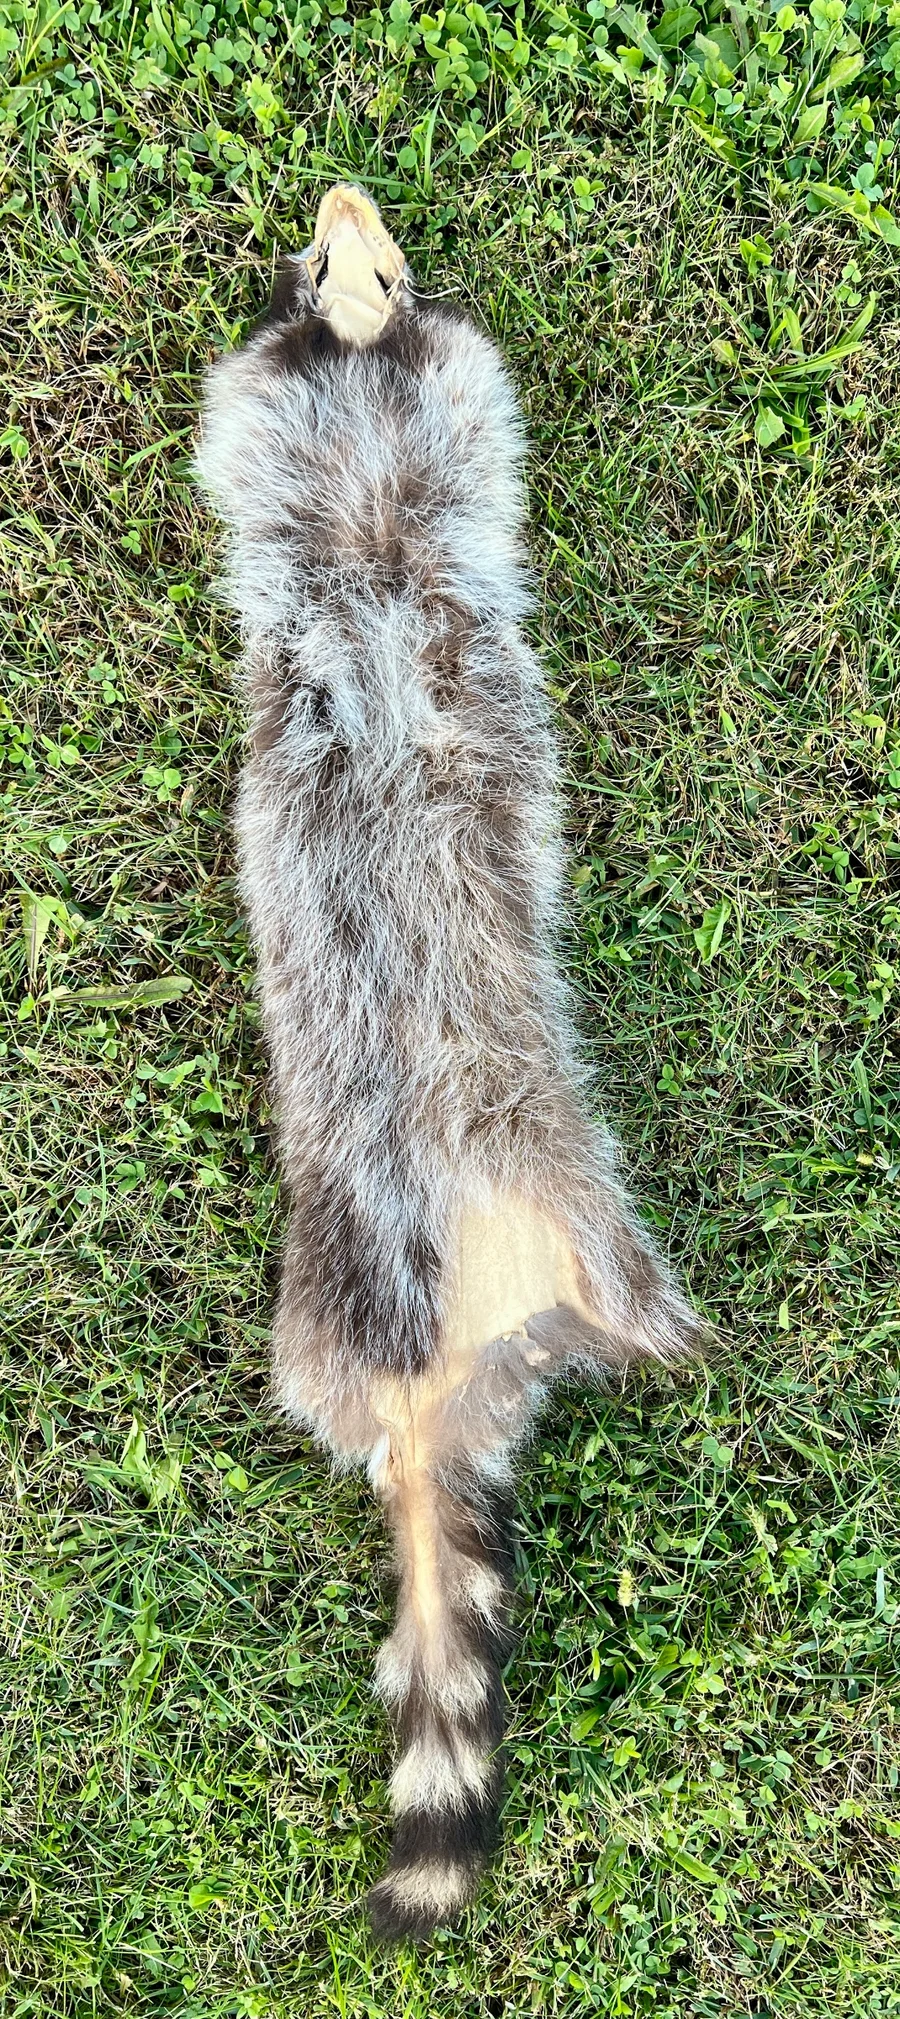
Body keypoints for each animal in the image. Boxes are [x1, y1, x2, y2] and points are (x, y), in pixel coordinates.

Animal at [196, 184, 702, 1941]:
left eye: (372, 238)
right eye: (320, 240)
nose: (345, 206)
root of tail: (428, 1389)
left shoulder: (439, 446)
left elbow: (461, 392)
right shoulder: (286, 448)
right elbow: (264, 405)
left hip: (548, 1183)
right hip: (408, 1244)